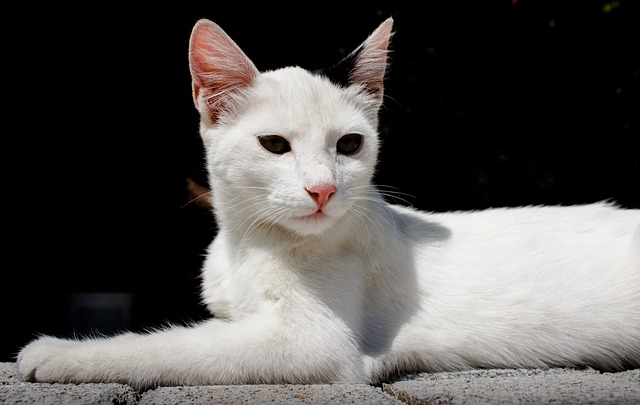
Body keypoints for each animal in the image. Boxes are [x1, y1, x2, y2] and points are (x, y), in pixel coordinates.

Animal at [16, 16, 640, 388]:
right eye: (274, 145)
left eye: (349, 145)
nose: (323, 189)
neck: (250, 244)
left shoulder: (309, 344)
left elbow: (173, 347)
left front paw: (59, 354)